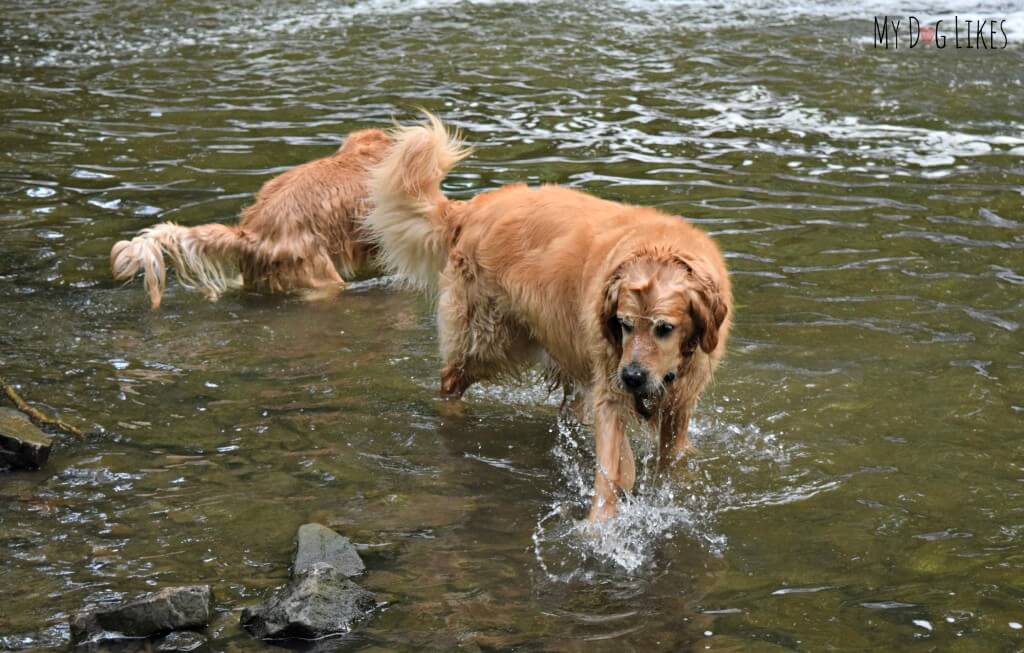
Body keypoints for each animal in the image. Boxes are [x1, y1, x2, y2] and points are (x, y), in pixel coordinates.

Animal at [364, 115, 733, 524]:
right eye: (623, 324)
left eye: (664, 328)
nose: (633, 377)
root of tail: (473, 207)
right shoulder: (611, 386)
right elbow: (611, 463)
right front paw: (599, 524)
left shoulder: (680, 403)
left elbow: (671, 458)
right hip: (488, 338)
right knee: (451, 379)